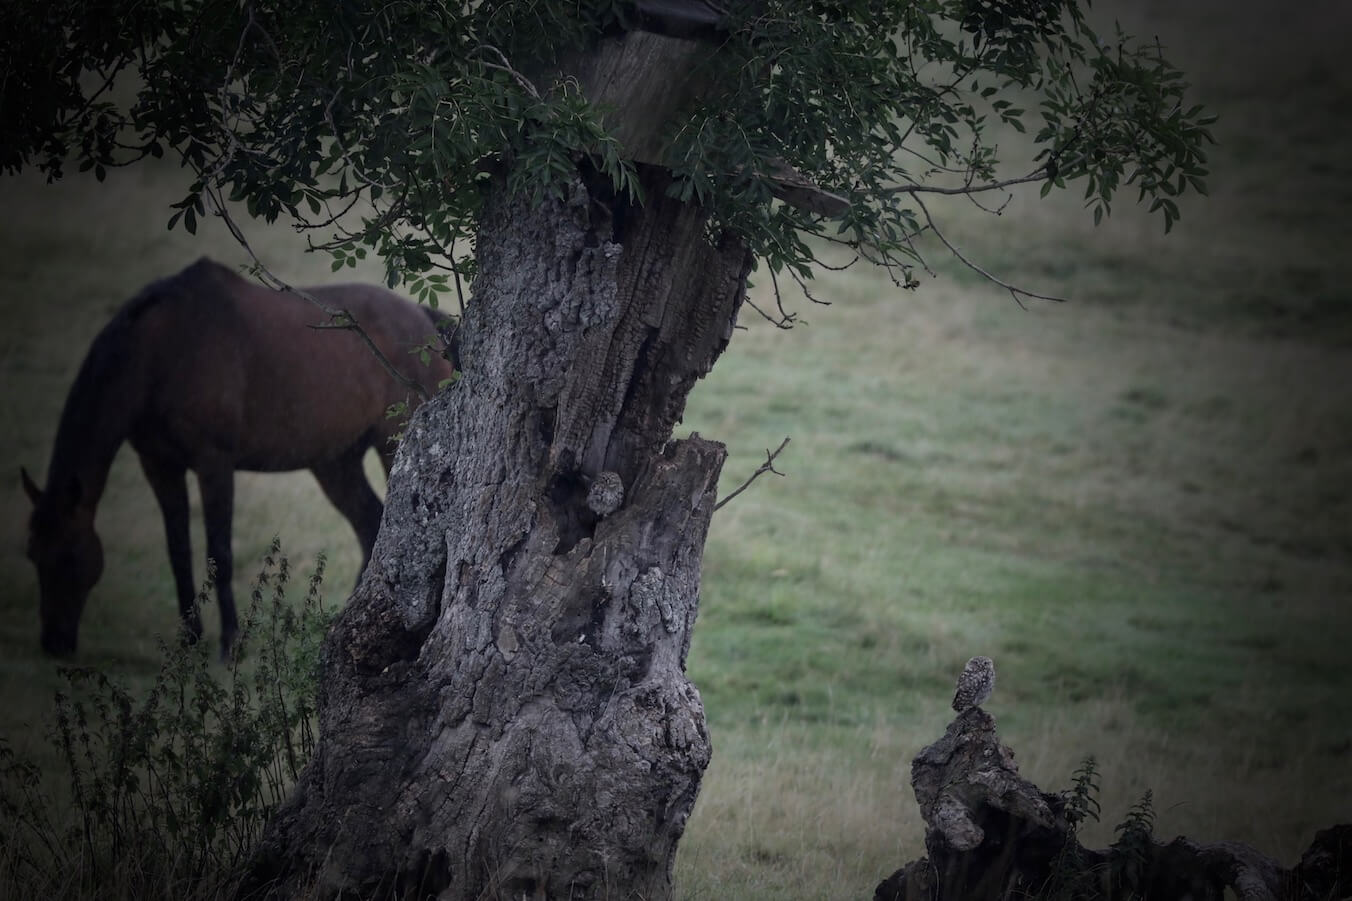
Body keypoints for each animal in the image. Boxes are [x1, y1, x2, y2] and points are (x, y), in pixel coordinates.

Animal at [21, 255, 454, 657]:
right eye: (32, 556)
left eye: (67, 558)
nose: (53, 643)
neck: (160, 352)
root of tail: (424, 318)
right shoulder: (160, 466)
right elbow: (178, 550)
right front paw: (189, 638)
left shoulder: (214, 464)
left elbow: (220, 553)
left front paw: (231, 642)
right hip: (335, 464)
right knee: (369, 524)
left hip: (393, 445)